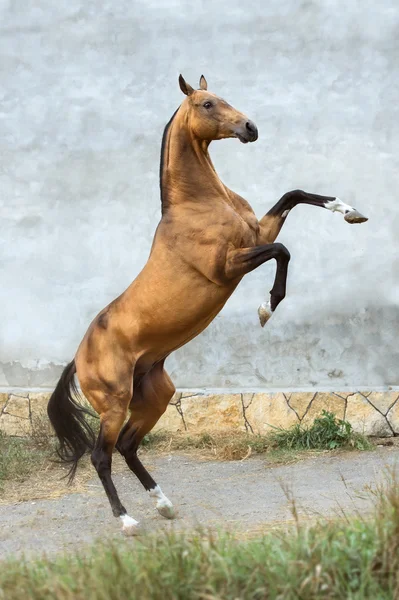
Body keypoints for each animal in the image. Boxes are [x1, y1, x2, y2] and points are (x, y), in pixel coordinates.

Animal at [47, 75, 368, 536]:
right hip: (114, 404)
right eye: (207, 104)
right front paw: (268, 308)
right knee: (101, 455)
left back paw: (165, 505)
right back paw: (128, 521)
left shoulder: (257, 233)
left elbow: (294, 195)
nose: (250, 128)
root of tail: (78, 359)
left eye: (224, 96)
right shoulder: (230, 266)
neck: (198, 203)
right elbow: (283, 250)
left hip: (155, 396)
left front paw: (350, 212)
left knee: (128, 446)